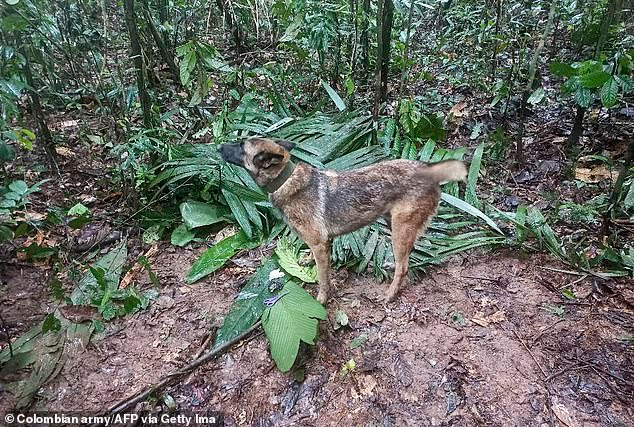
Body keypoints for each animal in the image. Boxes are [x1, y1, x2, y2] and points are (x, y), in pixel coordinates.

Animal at [220, 137, 466, 304]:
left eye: (241, 146)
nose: (219, 146)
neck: (285, 180)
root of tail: (429, 170)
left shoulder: (320, 244)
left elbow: (322, 278)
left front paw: (322, 299)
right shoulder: (319, 244)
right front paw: (307, 260)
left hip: (400, 228)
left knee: (403, 267)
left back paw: (390, 294)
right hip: (393, 224)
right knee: (407, 255)